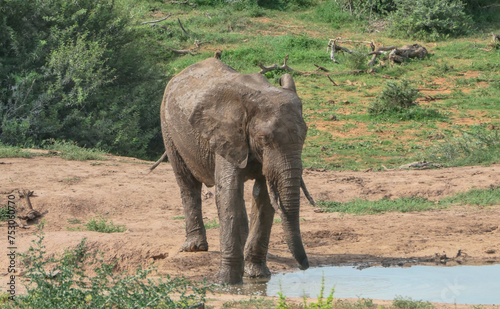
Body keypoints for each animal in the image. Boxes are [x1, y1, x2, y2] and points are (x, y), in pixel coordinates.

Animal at [158, 57, 310, 284]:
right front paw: (226, 282)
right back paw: (195, 247)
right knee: (187, 184)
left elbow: (264, 197)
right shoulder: (226, 135)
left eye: (304, 136)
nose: (306, 266)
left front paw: (257, 276)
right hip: (168, 127)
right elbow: (229, 195)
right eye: (264, 139)